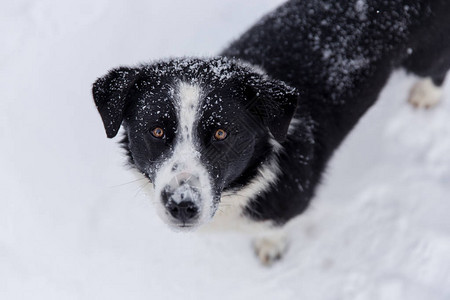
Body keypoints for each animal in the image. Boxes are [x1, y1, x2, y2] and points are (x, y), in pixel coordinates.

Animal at [91, 1, 450, 266]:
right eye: (156, 130)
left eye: (221, 133)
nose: (182, 205)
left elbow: (276, 227)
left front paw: (270, 246)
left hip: (426, 51)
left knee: (437, 68)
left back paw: (425, 94)